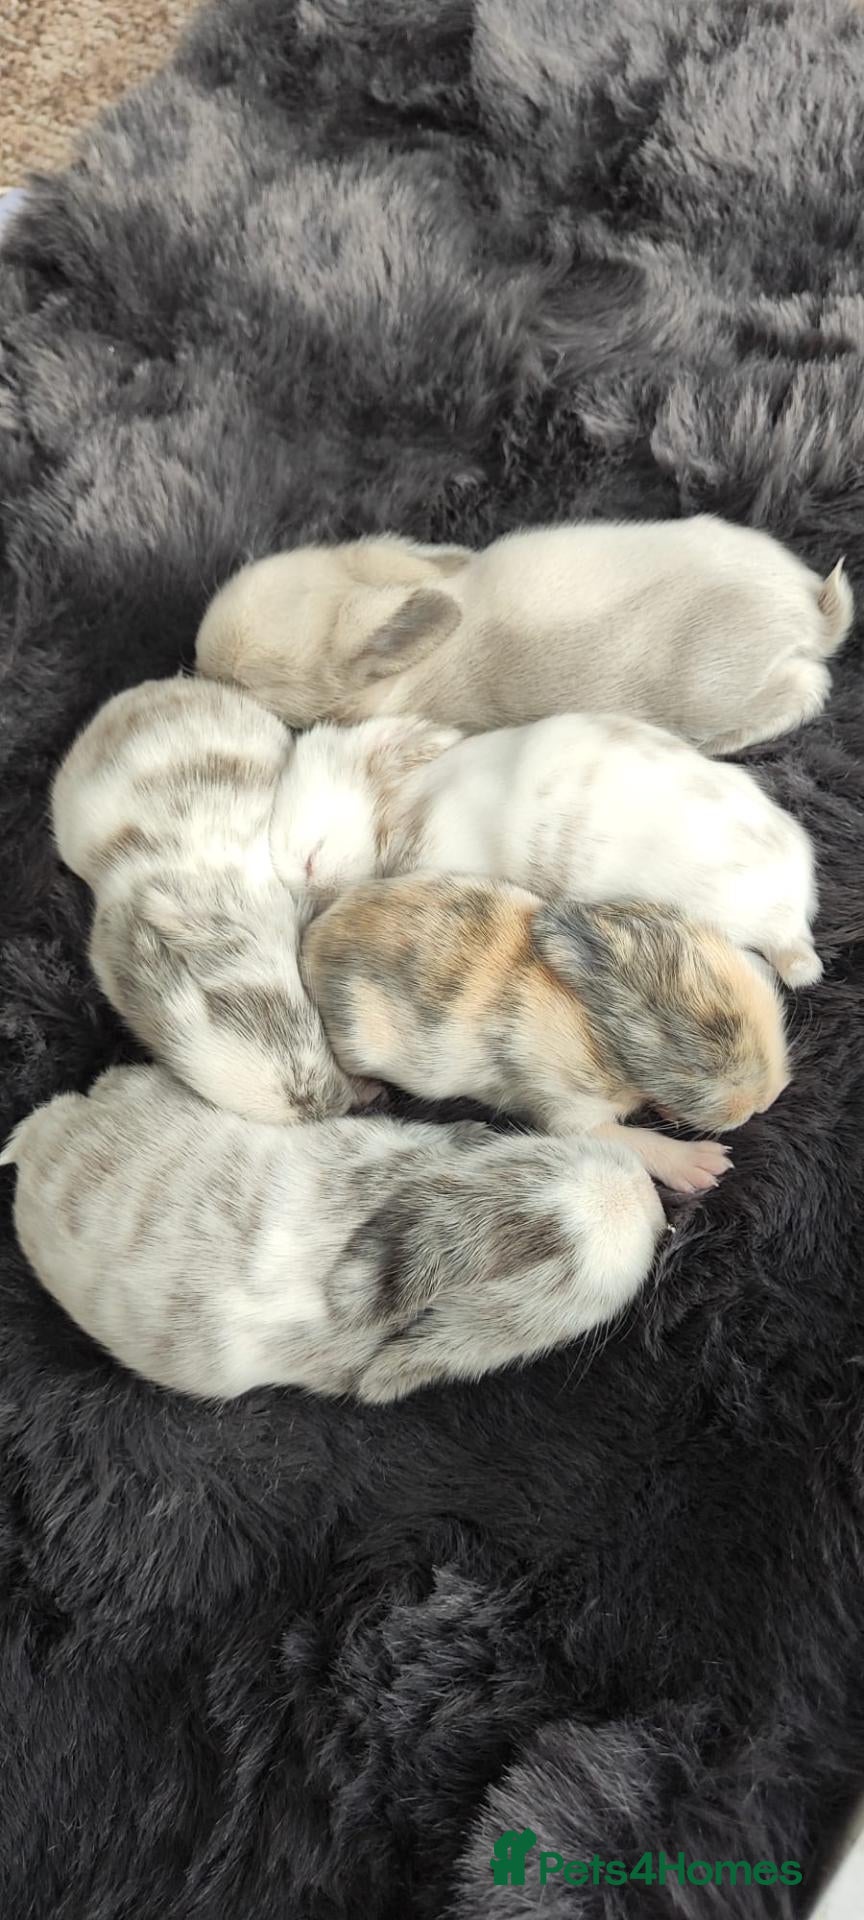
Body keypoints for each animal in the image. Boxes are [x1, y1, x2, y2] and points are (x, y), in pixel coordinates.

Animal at [303, 876, 790, 1195]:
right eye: (691, 1049)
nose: (766, 1102)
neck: (594, 1025)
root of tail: (313, 938)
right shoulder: (568, 1110)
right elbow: (633, 1141)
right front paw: (705, 1165)